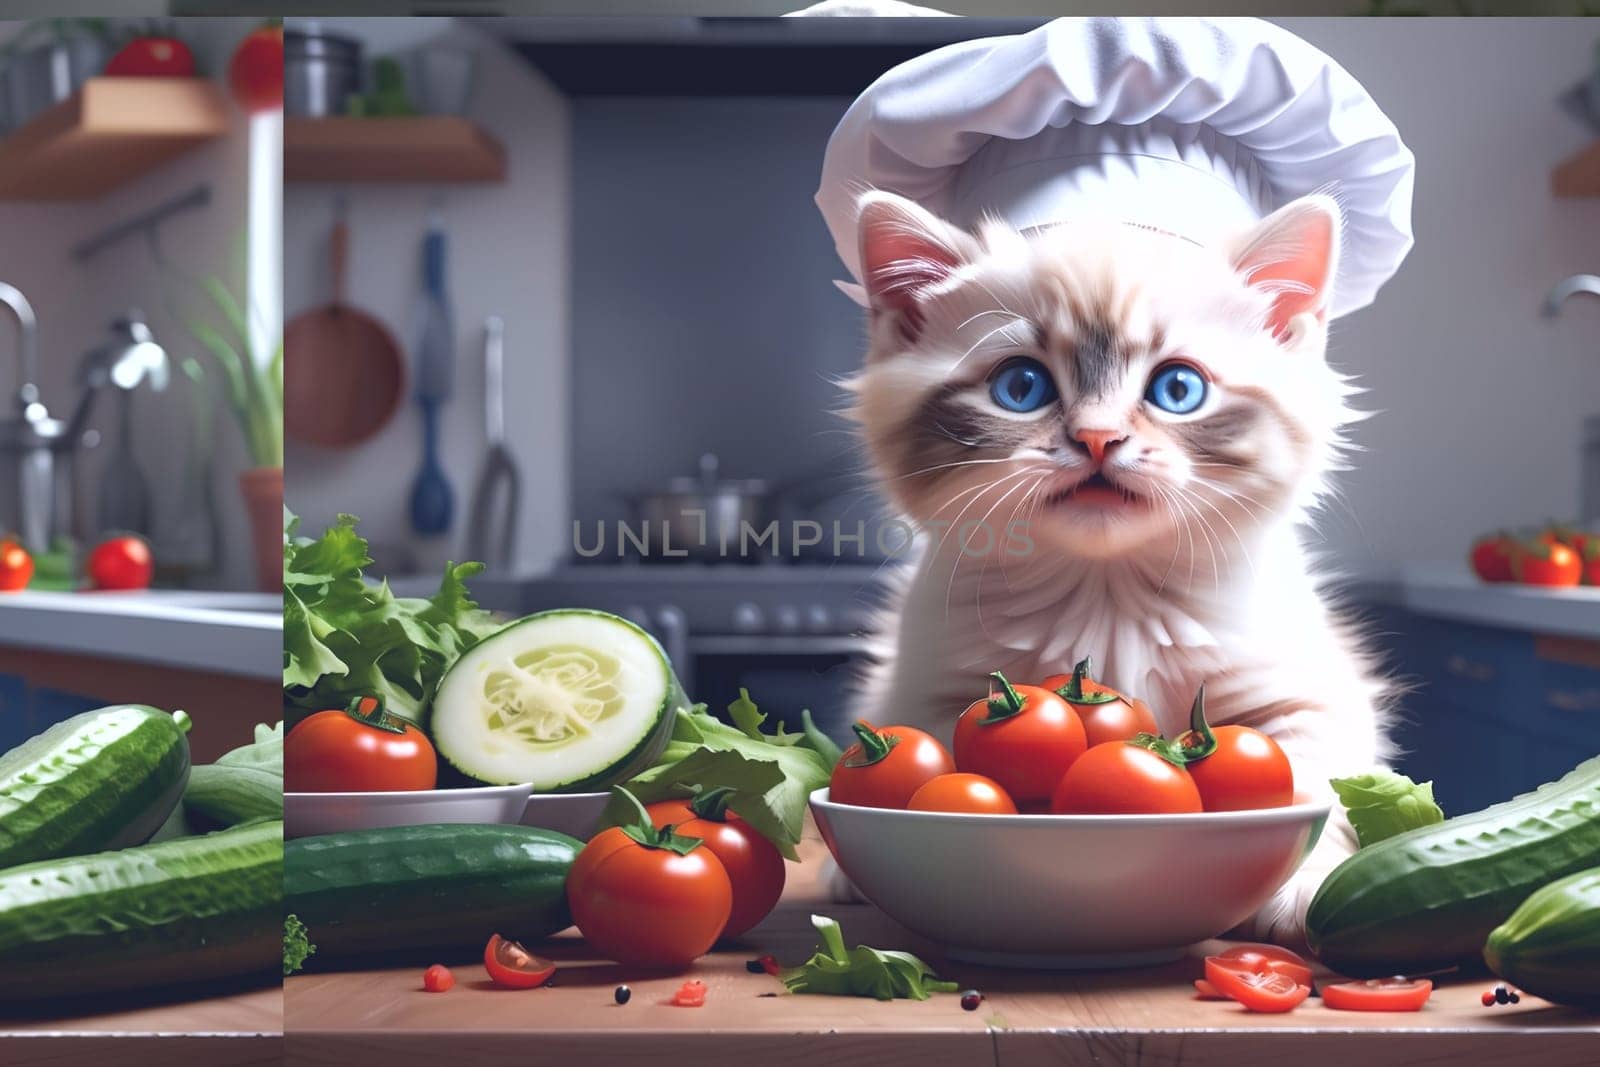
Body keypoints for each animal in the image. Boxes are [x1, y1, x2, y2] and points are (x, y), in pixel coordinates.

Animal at [844, 187, 1395, 947]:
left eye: (1178, 389)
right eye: (1021, 386)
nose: (1098, 438)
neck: (1105, 595)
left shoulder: (1306, 695)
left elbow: (1318, 785)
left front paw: (1304, 886)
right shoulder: (931, 686)